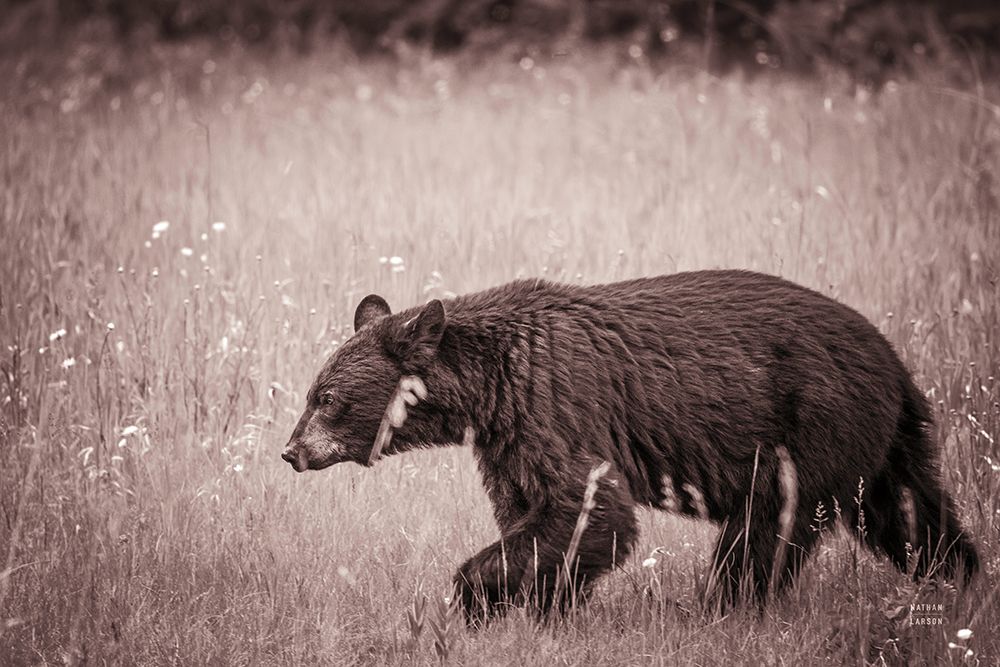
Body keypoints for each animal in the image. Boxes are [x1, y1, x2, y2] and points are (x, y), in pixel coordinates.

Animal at [281, 270, 979, 621]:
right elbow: (537, 514)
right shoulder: (509, 437)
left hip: (811, 425)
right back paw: (964, 580)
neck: (489, 384)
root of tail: (895, 360)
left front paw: (477, 599)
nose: (292, 452)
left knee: (766, 527)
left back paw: (724, 609)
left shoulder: (555, 402)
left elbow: (590, 508)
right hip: (881, 444)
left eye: (325, 398)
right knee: (912, 515)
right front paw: (546, 609)